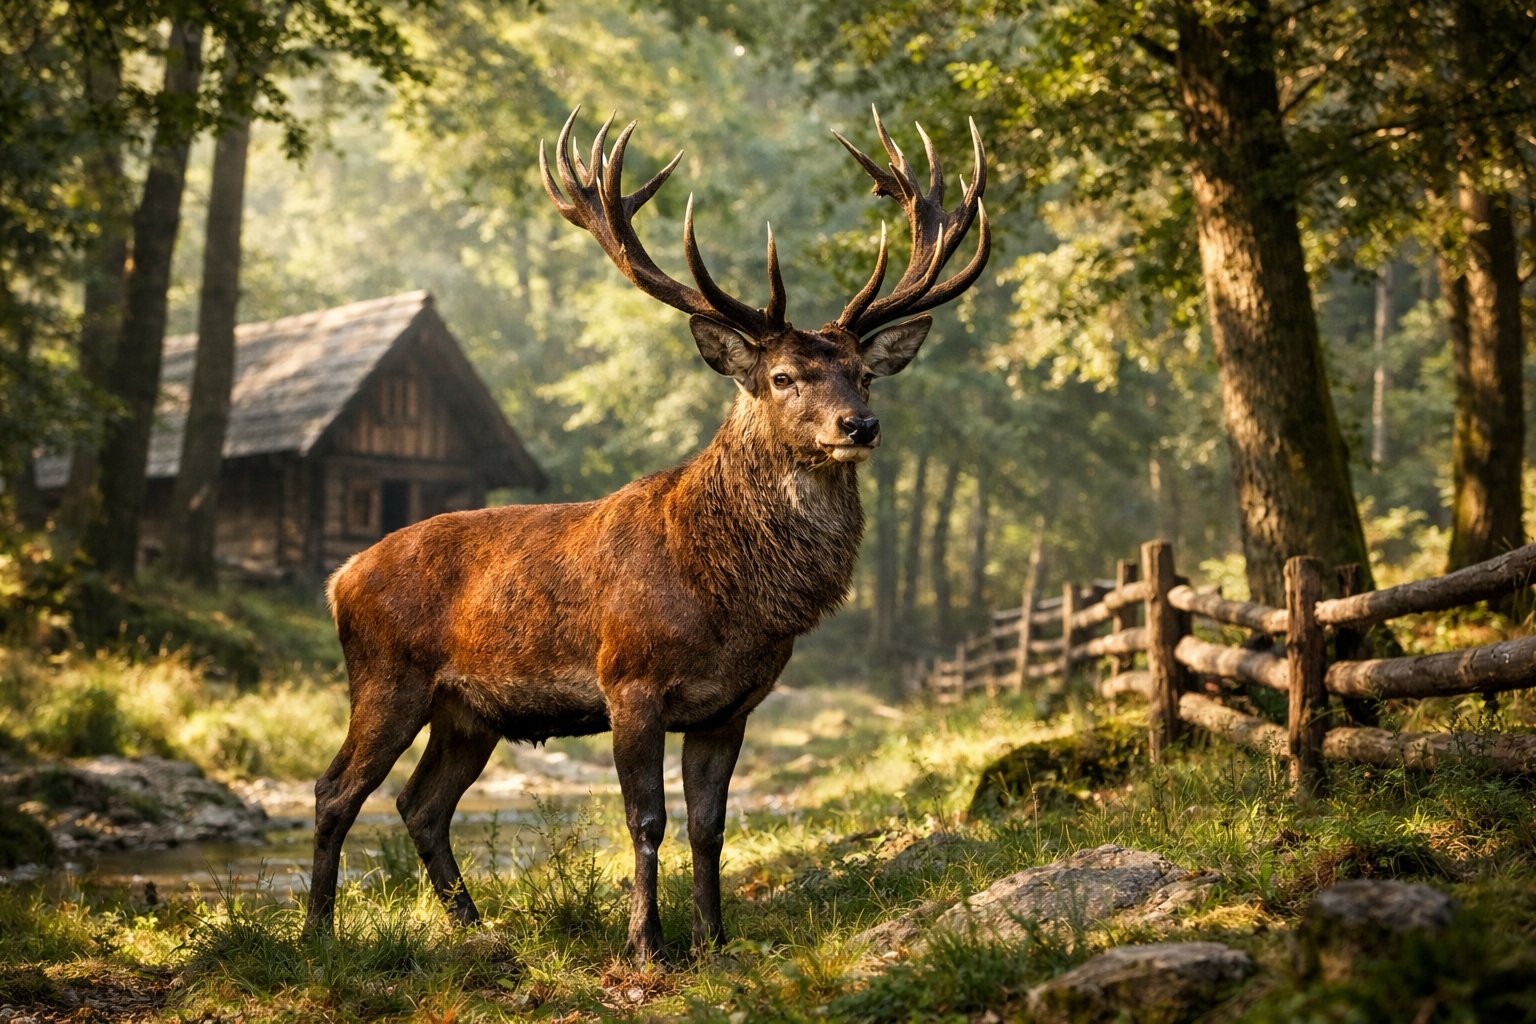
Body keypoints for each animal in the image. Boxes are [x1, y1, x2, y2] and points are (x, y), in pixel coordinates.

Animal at [305, 105, 989, 960]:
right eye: (783, 377)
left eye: (864, 374)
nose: (859, 425)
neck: (727, 595)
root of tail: (339, 577)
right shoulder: (629, 680)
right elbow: (646, 818)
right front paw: (645, 944)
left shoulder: (731, 705)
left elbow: (709, 825)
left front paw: (714, 939)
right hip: (386, 676)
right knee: (336, 789)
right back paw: (319, 932)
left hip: (469, 711)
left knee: (420, 804)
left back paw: (478, 929)